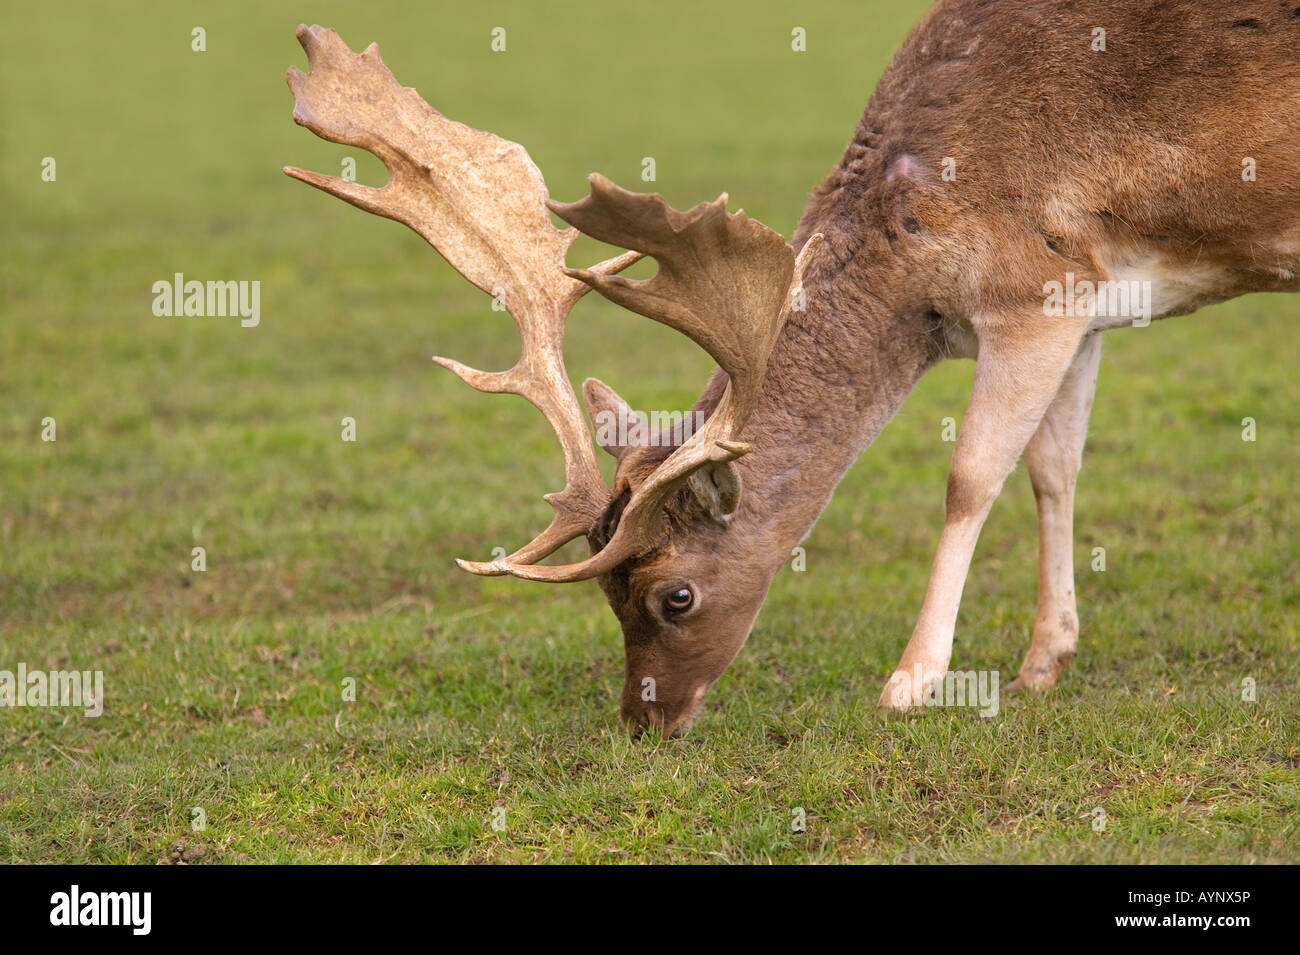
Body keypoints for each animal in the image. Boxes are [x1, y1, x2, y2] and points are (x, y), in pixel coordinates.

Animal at [287, 0, 1300, 738]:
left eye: (675, 594)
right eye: (607, 593)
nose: (642, 724)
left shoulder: (1030, 286)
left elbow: (971, 477)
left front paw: (911, 683)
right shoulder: (1085, 300)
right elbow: (1055, 471)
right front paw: (1044, 662)